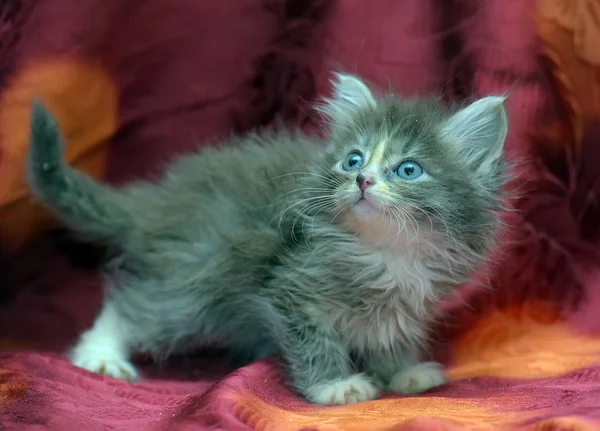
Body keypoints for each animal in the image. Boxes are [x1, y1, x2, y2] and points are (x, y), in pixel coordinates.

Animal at [27, 72, 506, 406]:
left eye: (408, 169)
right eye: (353, 160)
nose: (363, 180)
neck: (386, 252)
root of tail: (160, 202)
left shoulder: (404, 302)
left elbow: (390, 333)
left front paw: (403, 372)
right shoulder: (292, 288)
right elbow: (313, 340)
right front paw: (335, 386)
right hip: (196, 280)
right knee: (135, 308)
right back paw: (101, 354)